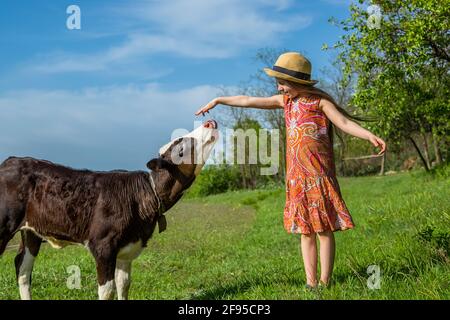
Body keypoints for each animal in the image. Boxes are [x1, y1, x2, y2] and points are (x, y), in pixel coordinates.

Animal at [0, 120, 218, 300]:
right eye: (180, 148)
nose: (210, 121)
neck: (145, 193)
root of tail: (11, 161)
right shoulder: (103, 245)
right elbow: (108, 290)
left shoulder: (128, 247)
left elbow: (124, 284)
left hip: (31, 232)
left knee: (22, 268)